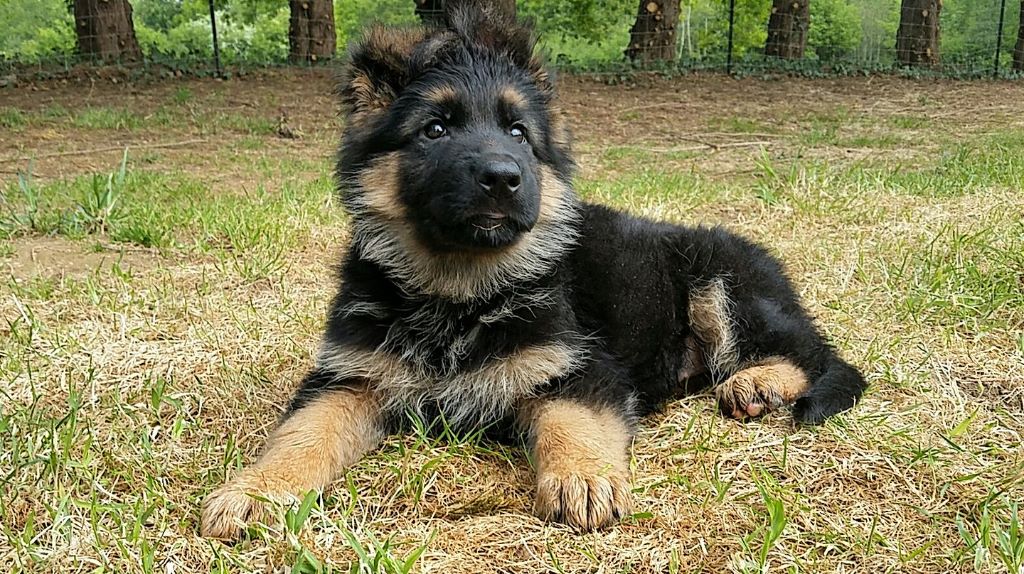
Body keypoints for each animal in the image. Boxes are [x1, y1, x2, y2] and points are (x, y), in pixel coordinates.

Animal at [197, 2, 864, 536]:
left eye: (519, 133)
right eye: (435, 129)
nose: (503, 177)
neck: (457, 291)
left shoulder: (578, 367)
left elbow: (571, 419)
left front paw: (583, 479)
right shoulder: (349, 378)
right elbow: (302, 432)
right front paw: (255, 492)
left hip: (720, 285)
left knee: (813, 352)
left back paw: (757, 383)